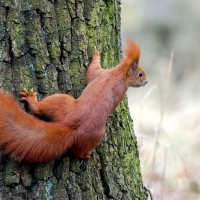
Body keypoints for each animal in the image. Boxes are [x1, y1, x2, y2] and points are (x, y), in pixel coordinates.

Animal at [0, 39, 148, 162]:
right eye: (140, 74)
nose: (146, 82)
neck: (120, 74)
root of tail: (69, 126)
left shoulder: (102, 75)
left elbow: (92, 71)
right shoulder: (106, 77)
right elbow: (92, 70)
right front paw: (96, 54)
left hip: (63, 103)